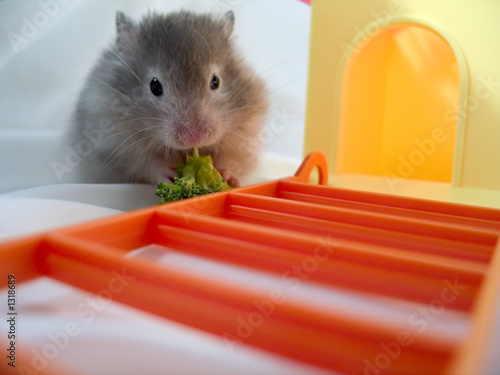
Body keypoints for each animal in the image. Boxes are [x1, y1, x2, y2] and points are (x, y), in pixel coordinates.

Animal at [69, 11, 270, 187]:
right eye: (154, 86)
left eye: (216, 81)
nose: (194, 138)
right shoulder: (115, 148)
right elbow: (147, 165)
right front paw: (171, 178)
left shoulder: (246, 136)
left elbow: (231, 159)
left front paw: (225, 176)